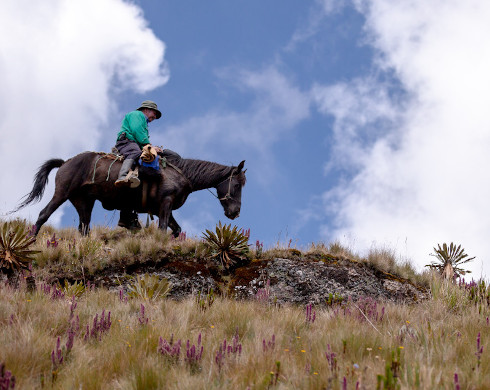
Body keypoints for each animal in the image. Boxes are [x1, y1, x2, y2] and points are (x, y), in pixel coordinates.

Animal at [14, 151, 245, 236]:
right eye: (237, 184)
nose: (235, 212)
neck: (180, 173)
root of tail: (65, 162)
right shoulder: (165, 203)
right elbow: (163, 228)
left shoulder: (163, 209)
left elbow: (176, 229)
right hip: (61, 194)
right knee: (43, 214)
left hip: (84, 202)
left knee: (84, 228)